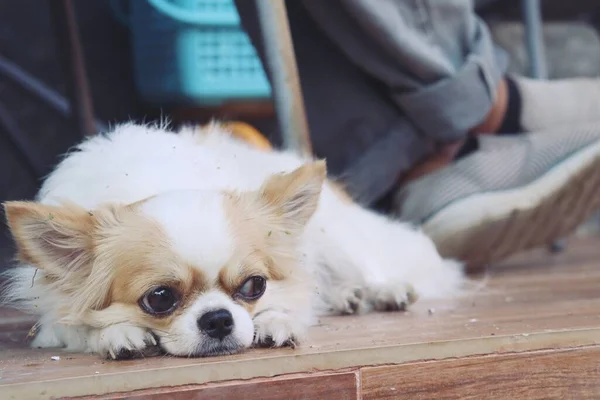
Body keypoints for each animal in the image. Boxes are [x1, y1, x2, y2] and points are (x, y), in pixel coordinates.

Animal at [1, 122, 464, 360]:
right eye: (159, 298)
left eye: (254, 285)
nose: (219, 319)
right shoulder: (49, 316)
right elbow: (75, 326)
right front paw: (118, 334)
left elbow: (291, 301)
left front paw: (275, 321)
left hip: (333, 234)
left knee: (362, 265)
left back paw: (381, 290)